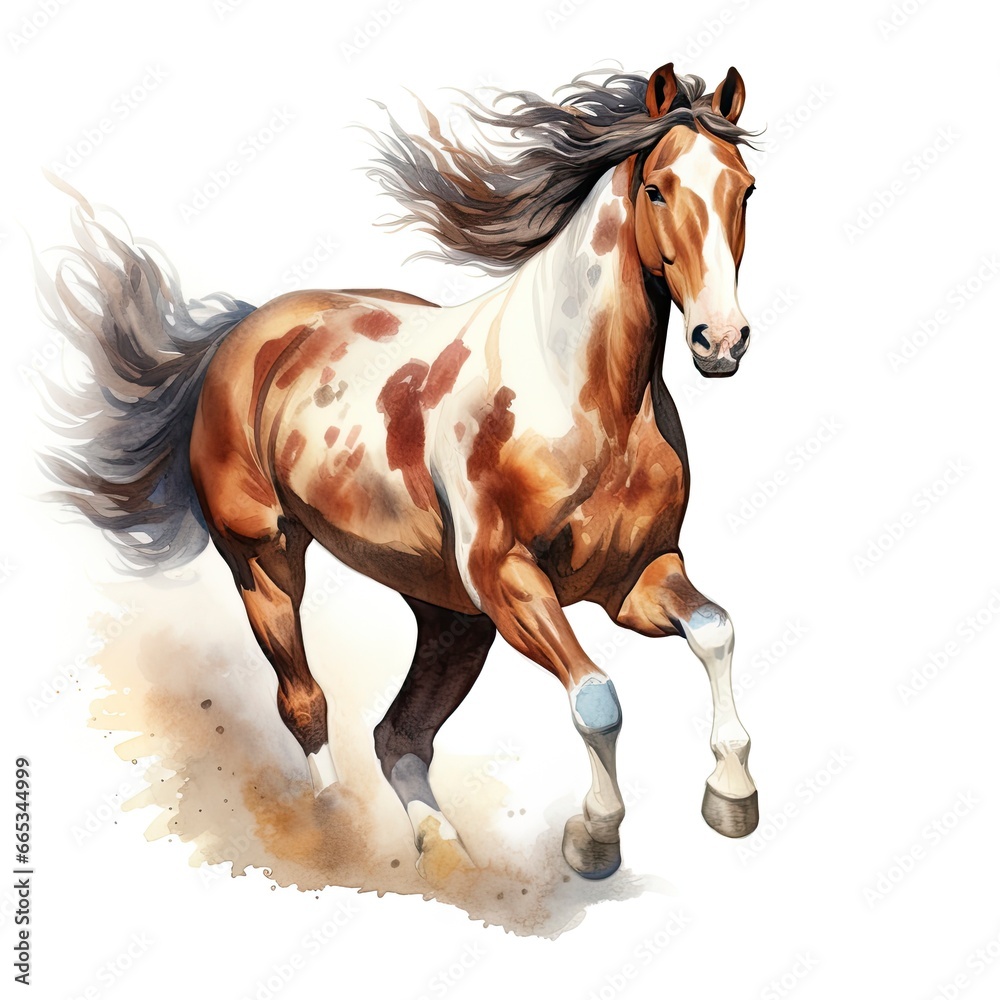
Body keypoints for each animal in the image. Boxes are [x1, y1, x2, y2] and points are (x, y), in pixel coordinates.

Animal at [41, 62, 759, 881]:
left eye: (745, 188)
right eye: (658, 189)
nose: (721, 340)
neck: (587, 402)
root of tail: (244, 333)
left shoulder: (636, 579)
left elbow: (715, 630)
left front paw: (732, 797)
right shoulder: (510, 580)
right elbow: (598, 698)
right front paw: (594, 837)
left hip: (450, 616)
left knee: (400, 736)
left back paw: (444, 854)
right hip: (266, 561)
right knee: (306, 703)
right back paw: (335, 836)